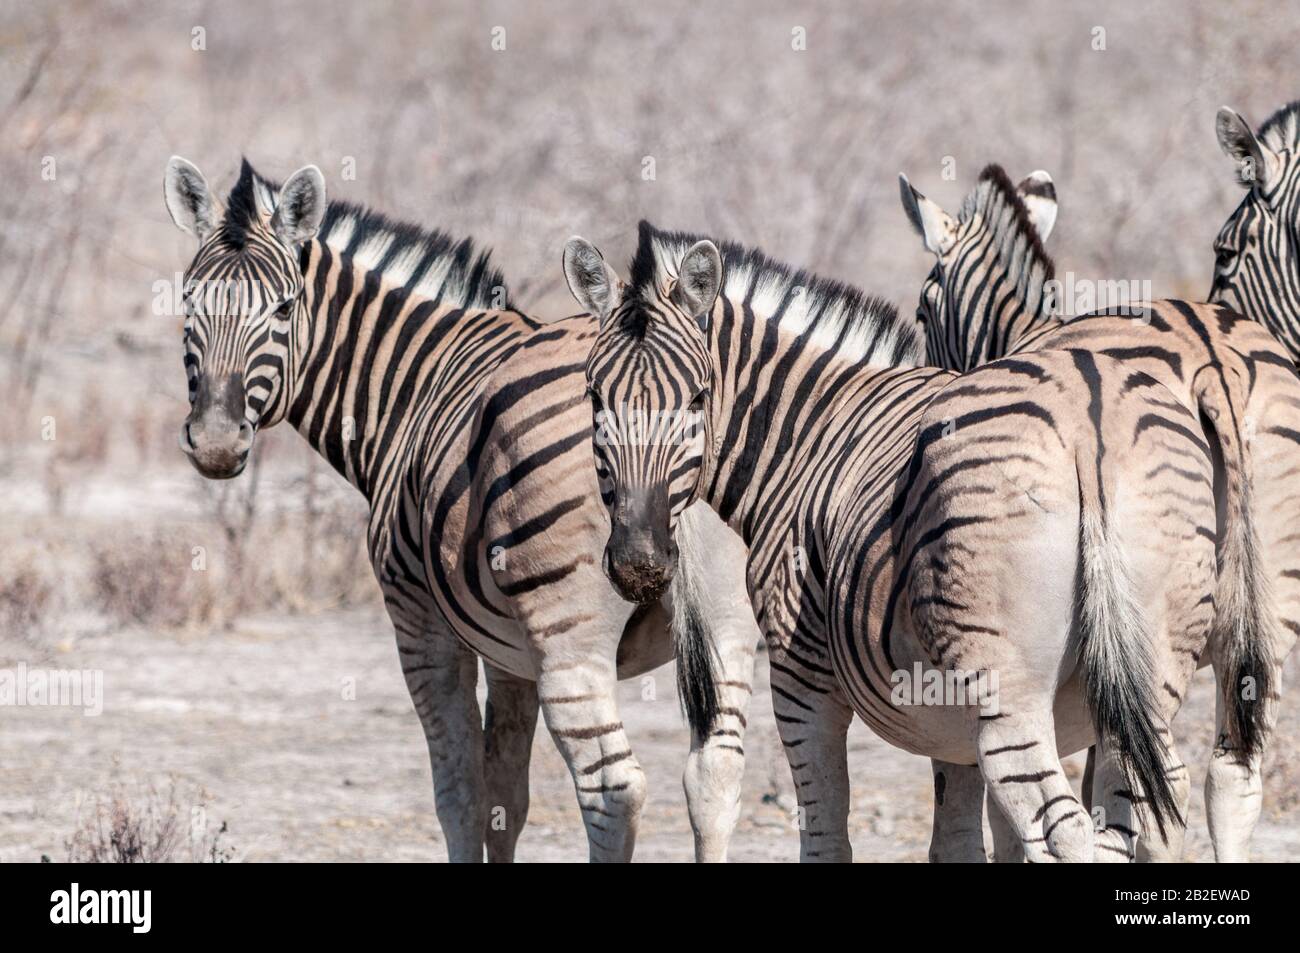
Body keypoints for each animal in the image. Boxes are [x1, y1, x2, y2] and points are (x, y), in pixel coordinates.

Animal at [158, 157, 759, 863]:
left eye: (283, 308)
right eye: (189, 303)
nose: (216, 442)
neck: (416, 380)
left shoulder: (421, 624)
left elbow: (459, 794)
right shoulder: (510, 655)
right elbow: (506, 797)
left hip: (571, 640)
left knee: (613, 790)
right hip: (727, 626)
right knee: (714, 778)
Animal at [566, 223, 1216, 863]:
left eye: (698, 397)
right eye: (595, 398)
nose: (639, 565)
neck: (811, 435)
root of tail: (1086, 416)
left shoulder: (801, 676)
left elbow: (826, 836)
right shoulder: (953, 727)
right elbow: (958, 842)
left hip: (1010, 690)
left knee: (1066, 830)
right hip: (1151, 680)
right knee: (1157, 806)